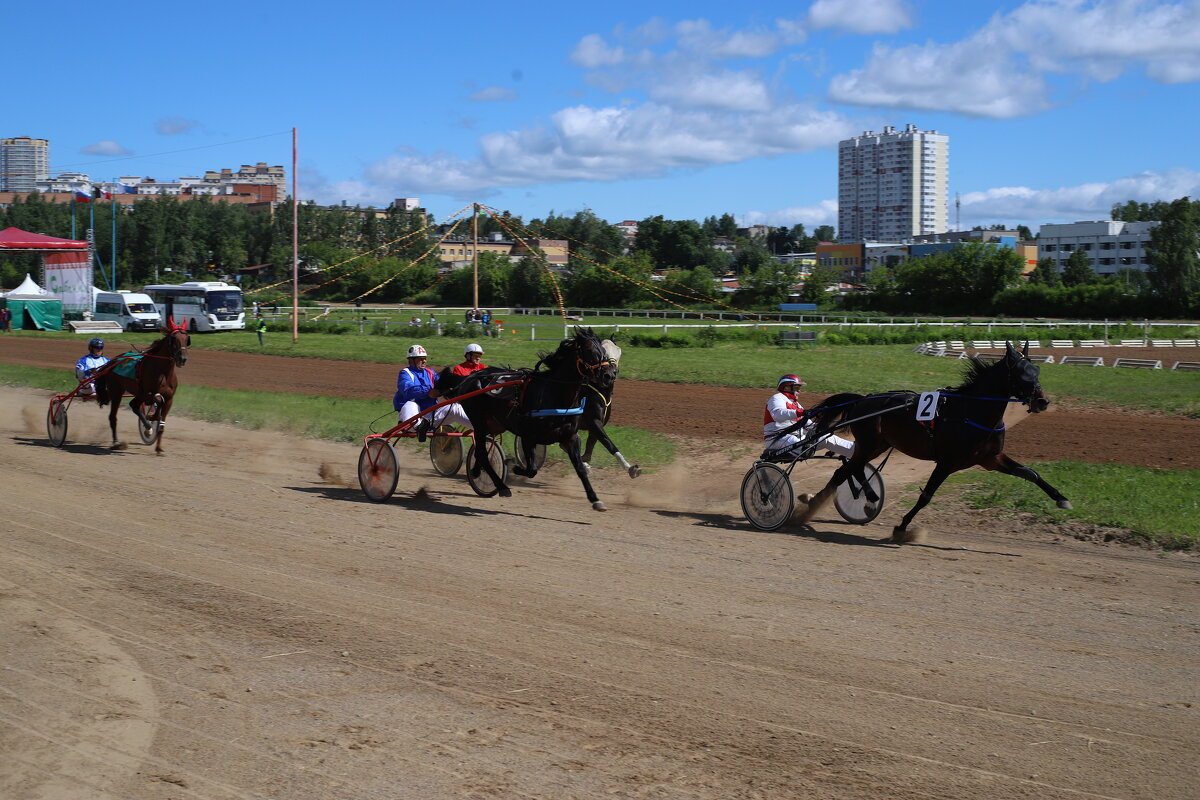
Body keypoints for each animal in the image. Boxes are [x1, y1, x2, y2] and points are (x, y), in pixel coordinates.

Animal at [93, 321, 188, 453]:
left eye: (187, 339)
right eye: (174, 339)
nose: (182, 359)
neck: (162, 372)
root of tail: (113, 361)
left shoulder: (169, 399)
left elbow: (161, 421)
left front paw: (158, 448)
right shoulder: (147, 393)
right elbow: (158, 400)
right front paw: (152, 417)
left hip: (135, 394)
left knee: (133, 405)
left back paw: (147, 428)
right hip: (117, 391)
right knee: (113, 417)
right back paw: (117, 442)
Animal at [439, 328, 609, 510]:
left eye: (603, 350)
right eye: (590, 350)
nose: (608, 375)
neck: (554, 394)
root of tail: (469, 378)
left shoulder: (570, 437)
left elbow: (580, 469)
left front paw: (595, 498)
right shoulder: (528, 436)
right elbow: (532, 469)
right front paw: (513, 464)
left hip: (494, 424)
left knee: (480, 452)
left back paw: (477, 472)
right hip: (478, 421)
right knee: (483, 455)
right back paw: (502, 487)